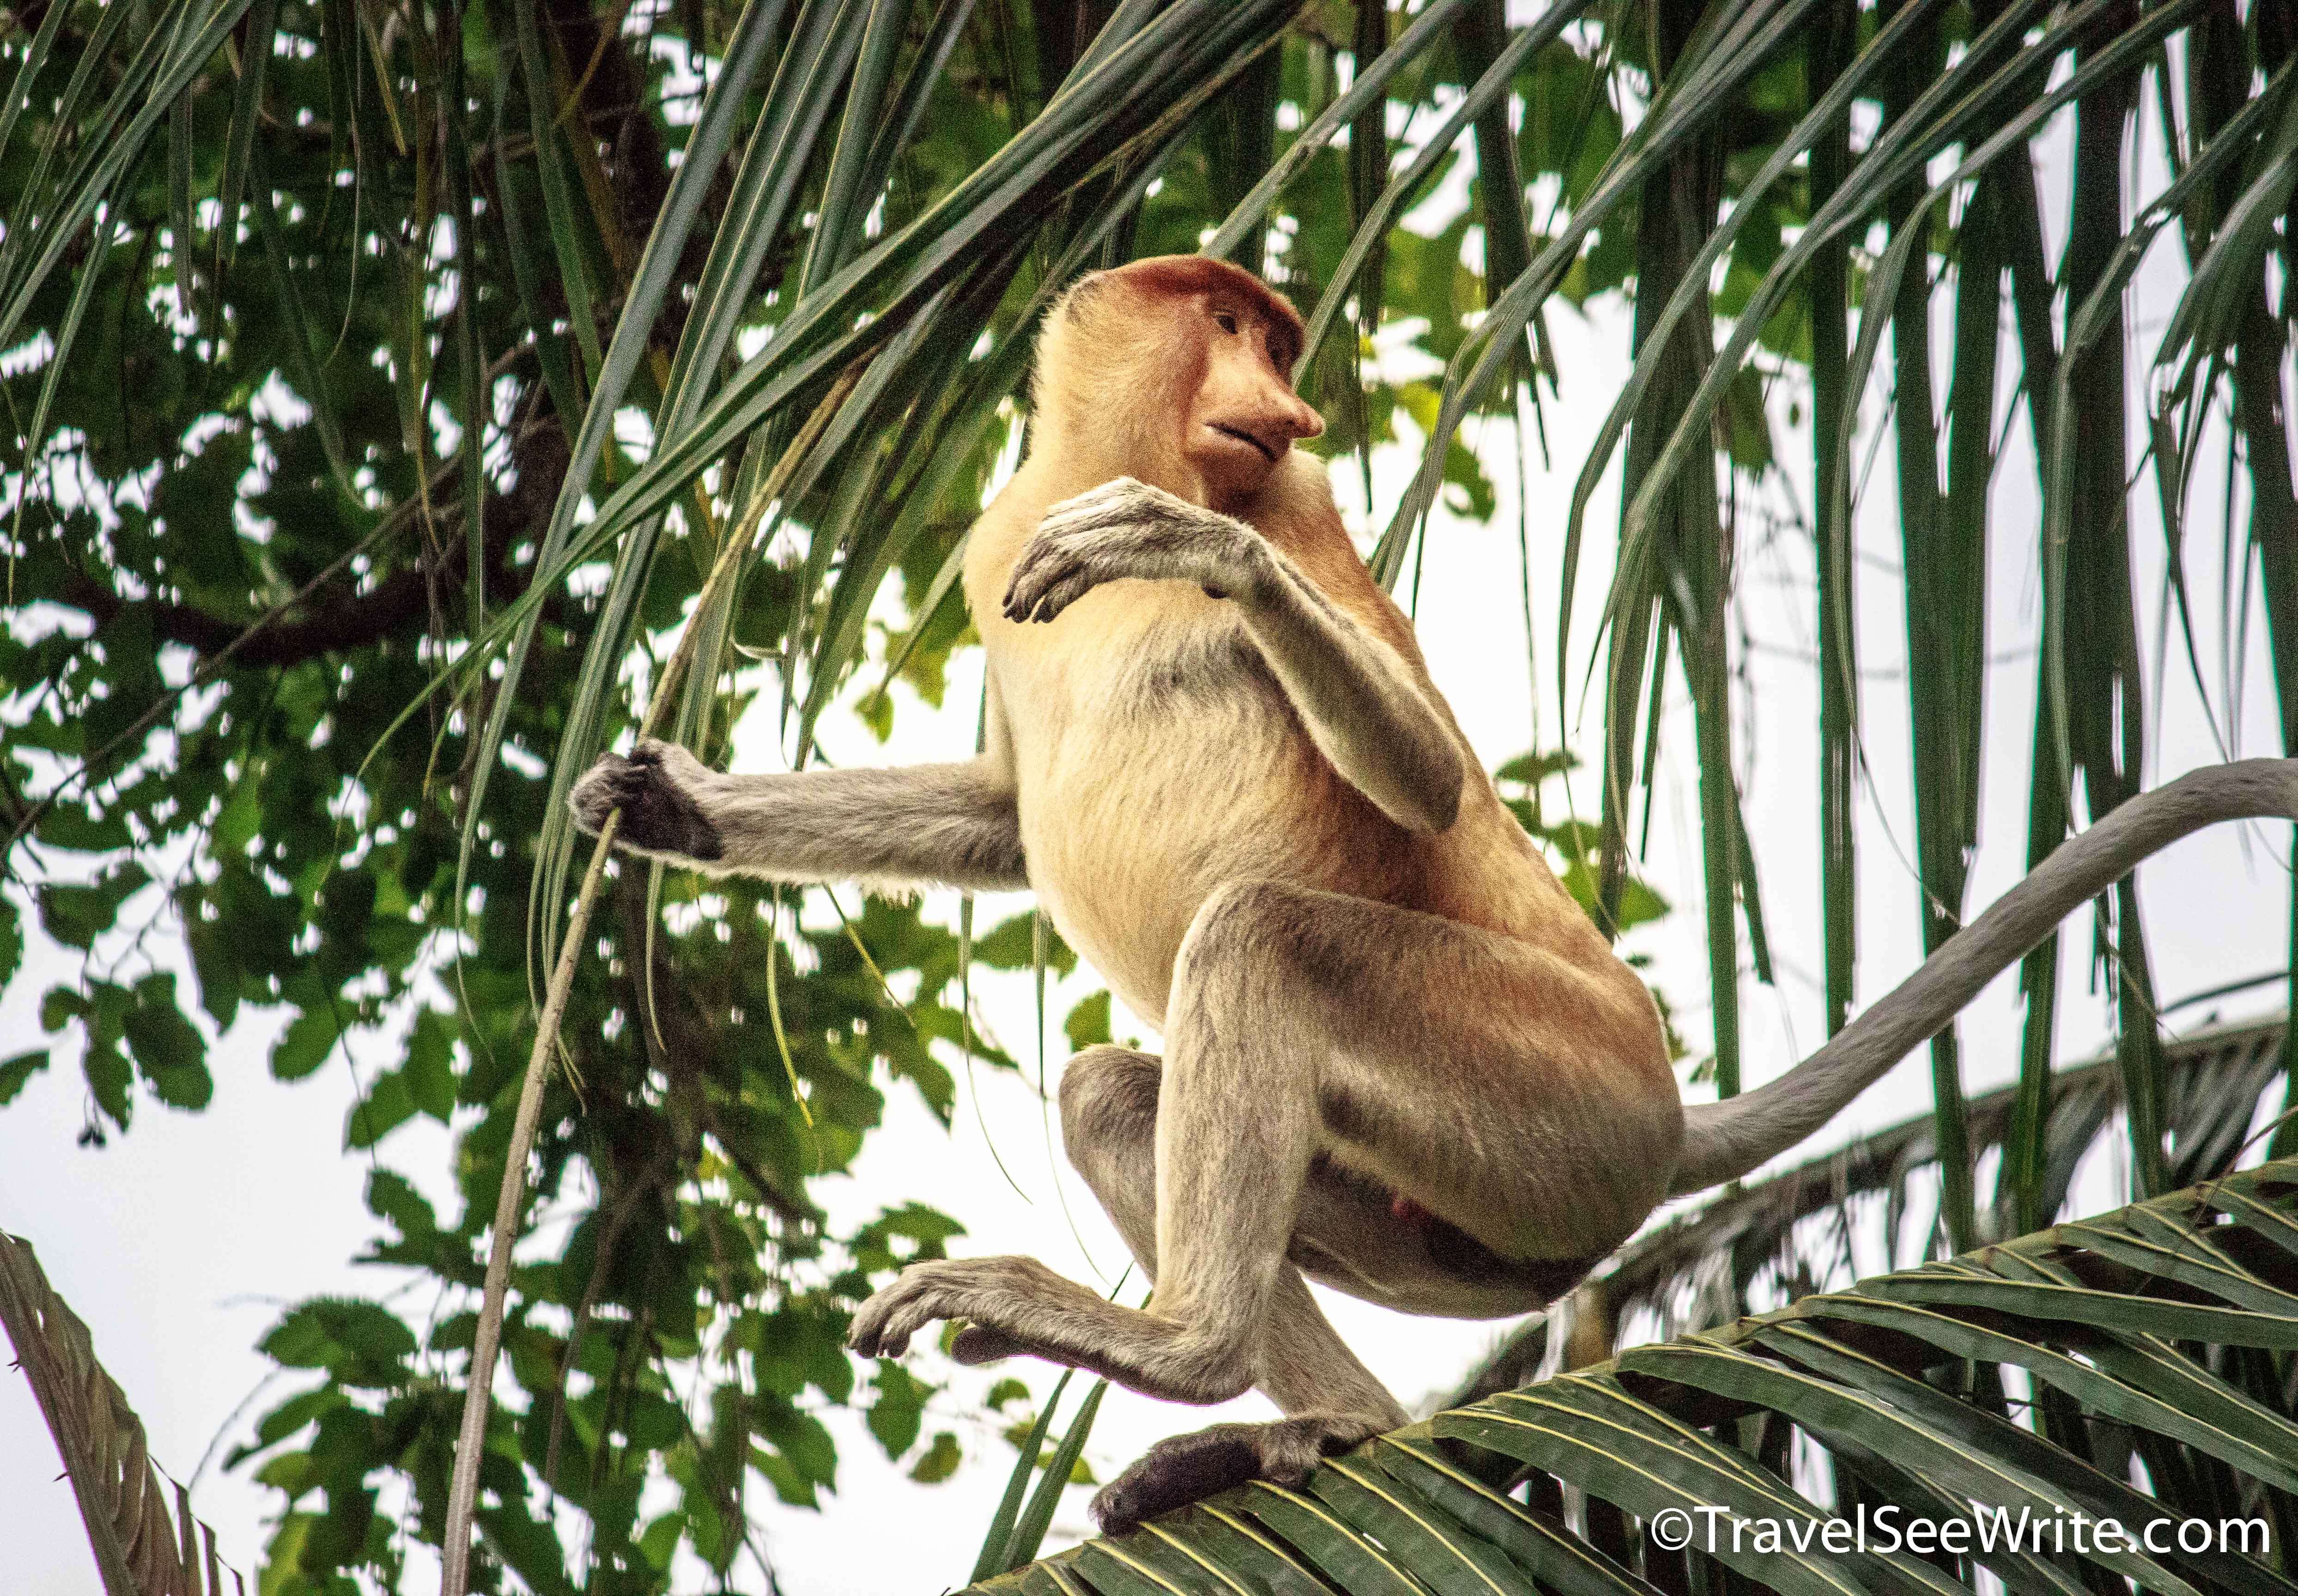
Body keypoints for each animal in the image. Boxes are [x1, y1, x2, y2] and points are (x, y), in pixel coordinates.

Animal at [570, 252, 2298, 1534]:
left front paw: (1176, 545)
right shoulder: (999, 535)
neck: (1109, 450)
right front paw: (668, 805)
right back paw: (1310, 1430)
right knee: (1119, 1091)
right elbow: (1003, 817)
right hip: (1465, 1218)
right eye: (1227, 325)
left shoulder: (1299, 513)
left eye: (1276, 343)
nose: (1284, 400)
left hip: (1545, 1092)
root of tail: (1663, 1117)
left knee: (1260, 937)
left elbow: (1420, 782)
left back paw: (1180, 1354)